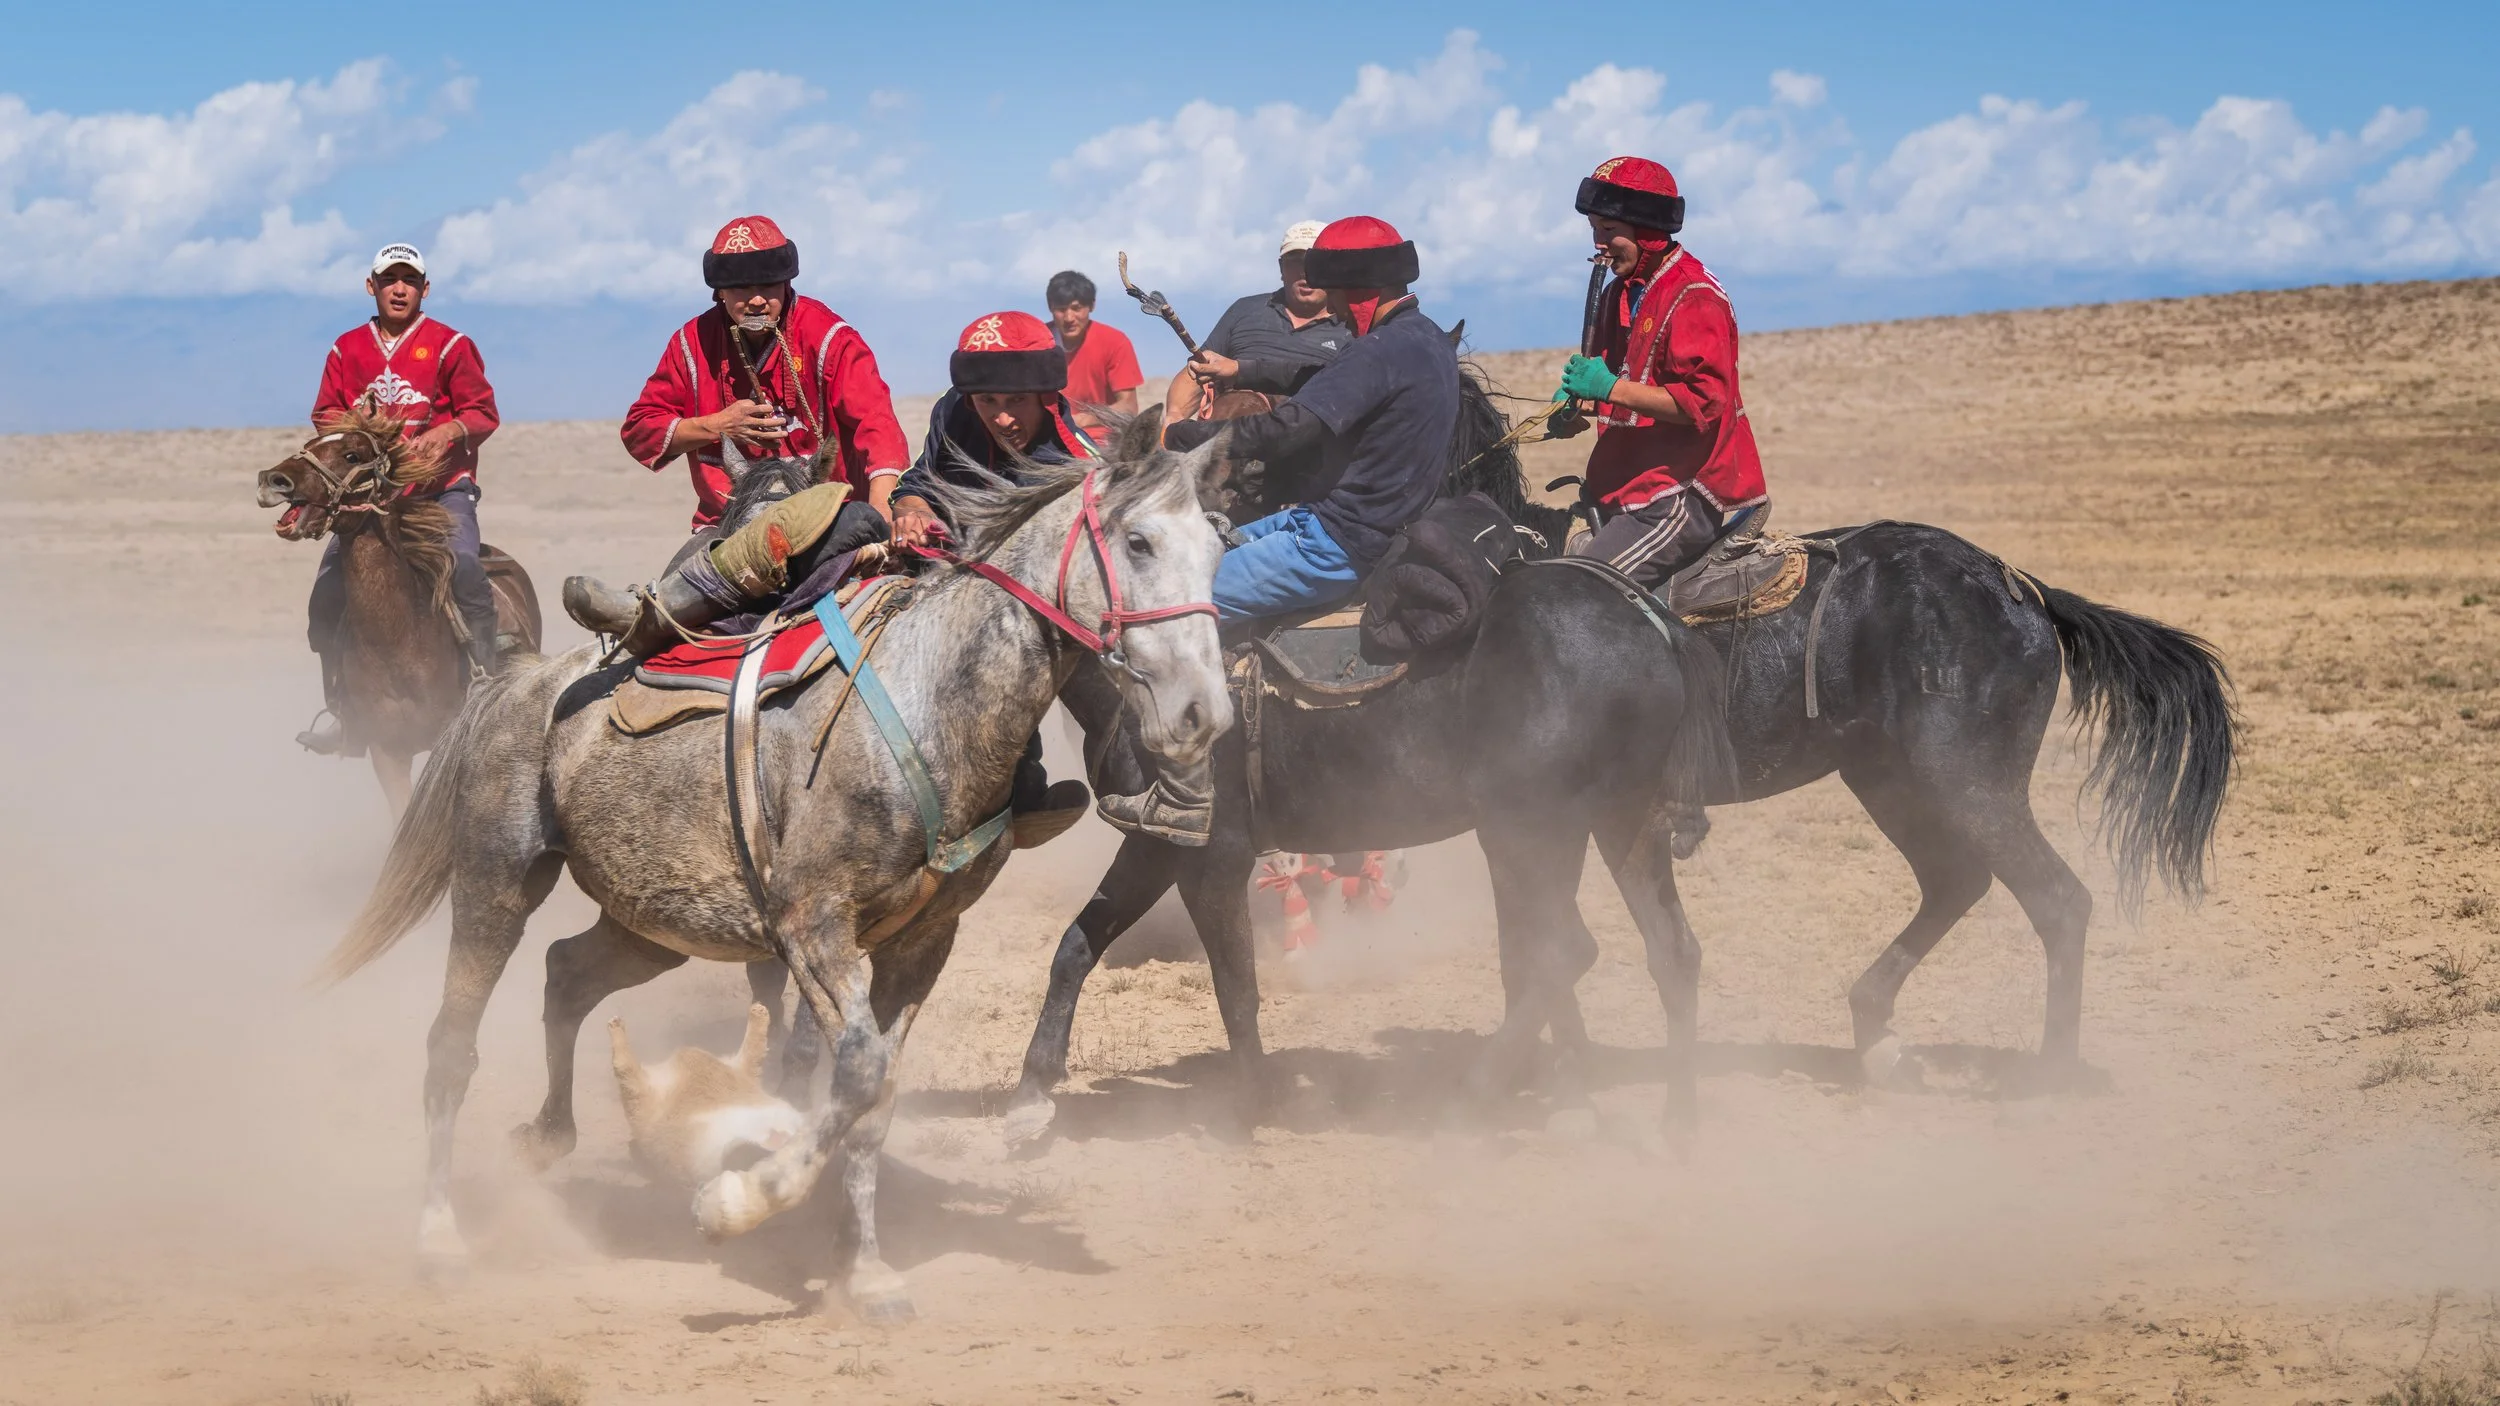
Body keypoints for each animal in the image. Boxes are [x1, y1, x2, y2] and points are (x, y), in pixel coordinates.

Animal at [315, 434, 1233, 1324]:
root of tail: (514, 682)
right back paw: (439, 1238)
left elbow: (876, 1100)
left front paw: (862, 1273)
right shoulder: (812, 925)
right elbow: (856, 1074)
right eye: (1139, 542)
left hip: (652, 922)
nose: (1203, 716)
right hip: (497, 881)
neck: (930, 700)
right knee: (451, 1046)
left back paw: (545, 1137)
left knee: (566, 973)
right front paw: (739, 1201)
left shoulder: (923, 943)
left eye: (1219, 547)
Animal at [1009, 380, 2237, 1140]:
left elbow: (1216, 978)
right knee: (1941, 888)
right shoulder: (1180, 848)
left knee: (2053, 900)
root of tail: (2019, 587)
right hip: (1875, 784)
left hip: (1941, 782)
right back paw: (1844, 1044)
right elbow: (1108, 953)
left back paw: (2040, 1080)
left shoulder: (1209, 845)